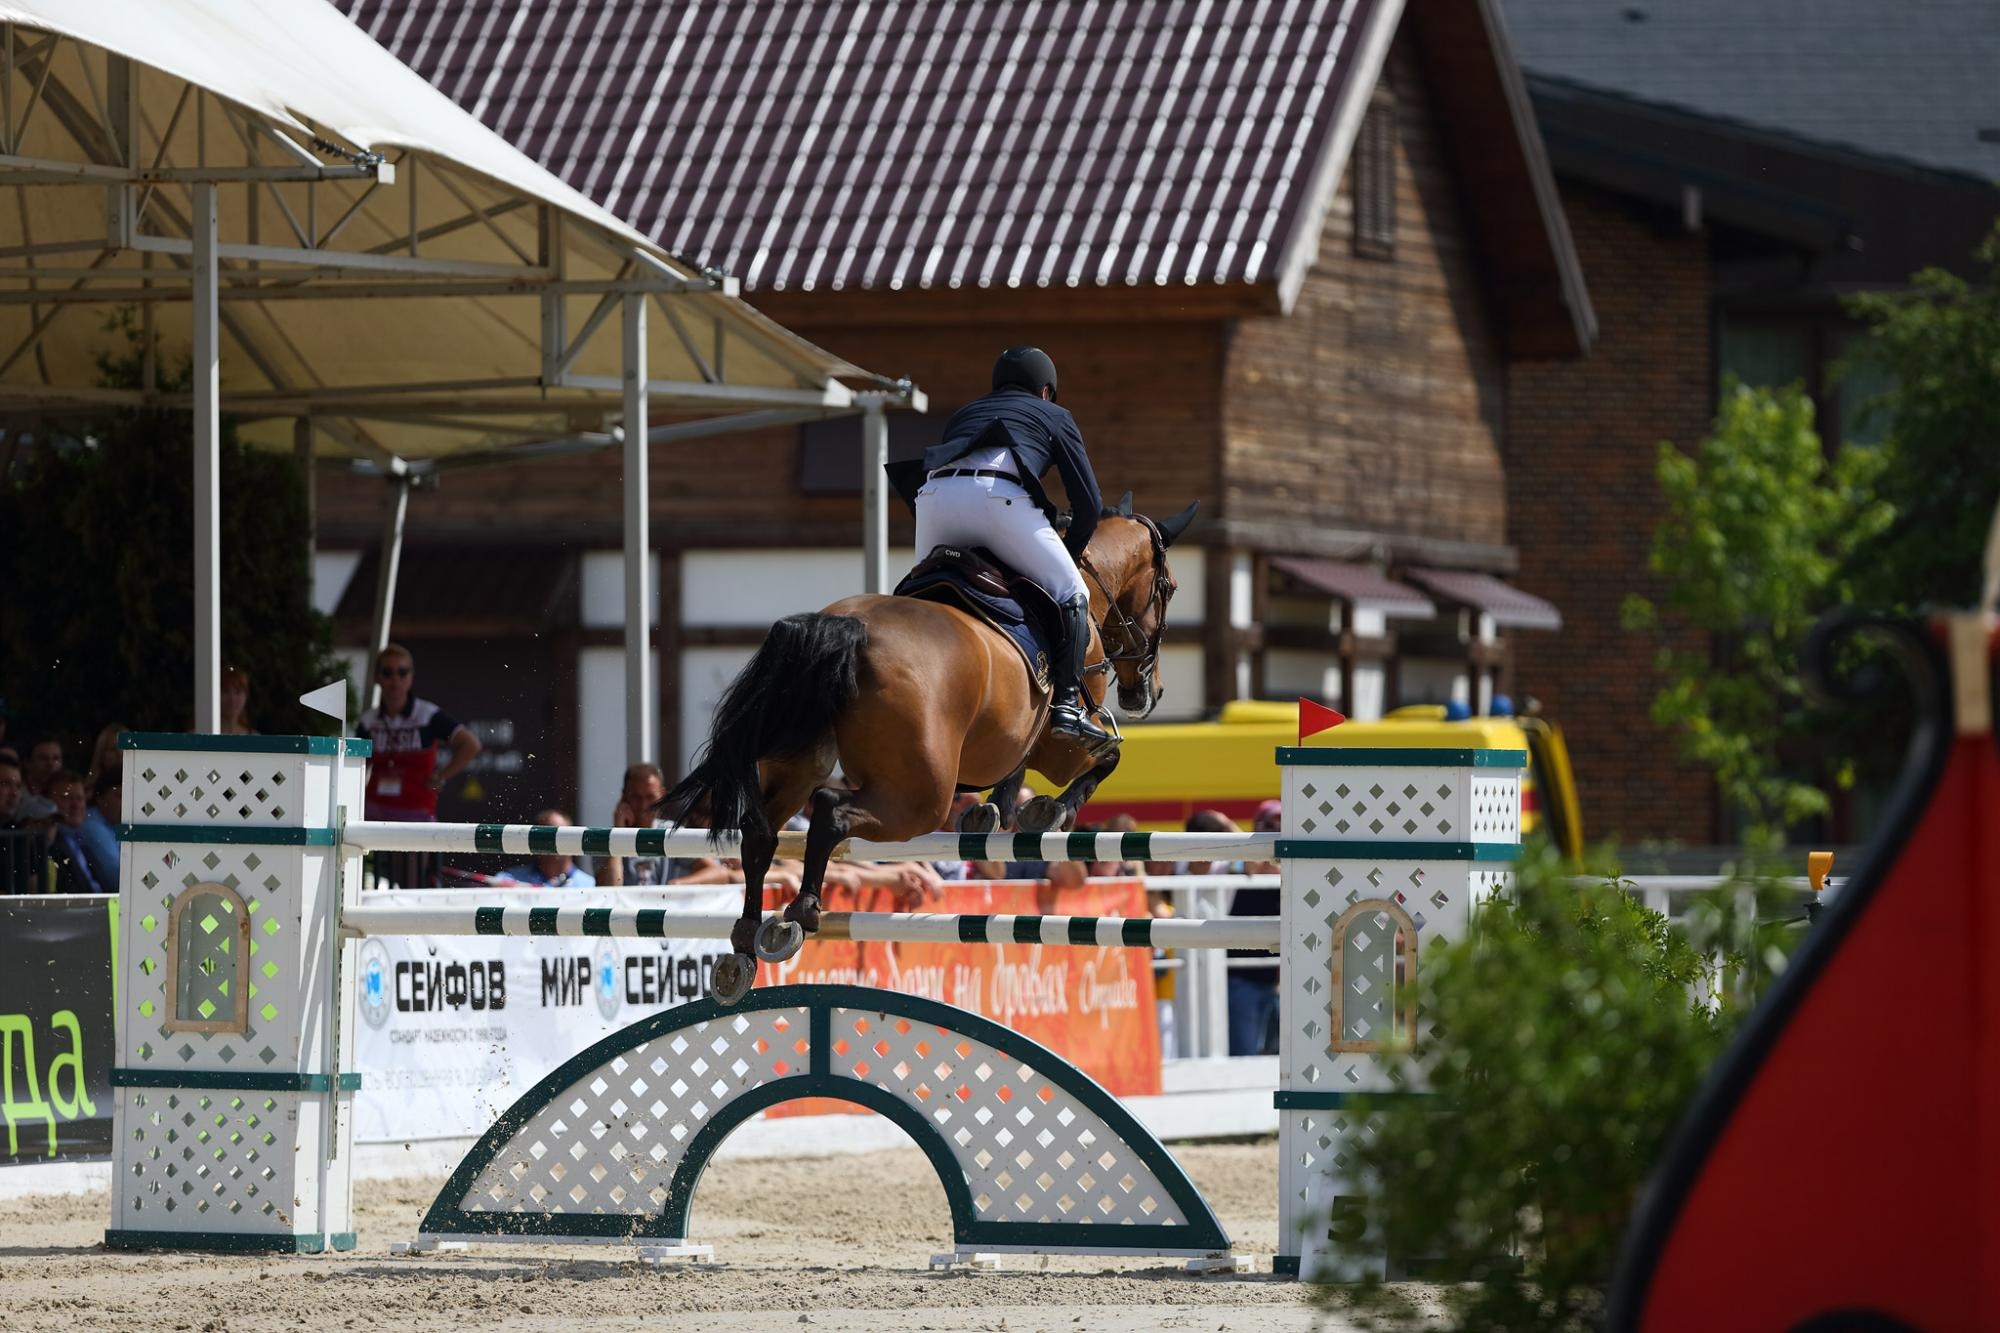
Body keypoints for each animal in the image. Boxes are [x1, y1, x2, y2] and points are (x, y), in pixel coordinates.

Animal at [664, 496, 1192, 996]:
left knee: (760, 830)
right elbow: (1108, 756)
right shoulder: (1063, 744)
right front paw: (1049, 810)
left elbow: (1019, 767)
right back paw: (801, 912)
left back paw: (744, 943)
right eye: (1168, 588)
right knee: (831, 809)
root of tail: (848, 628)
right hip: (920, 797)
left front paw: (992, 810)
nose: (1151, 692)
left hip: (797, 763)